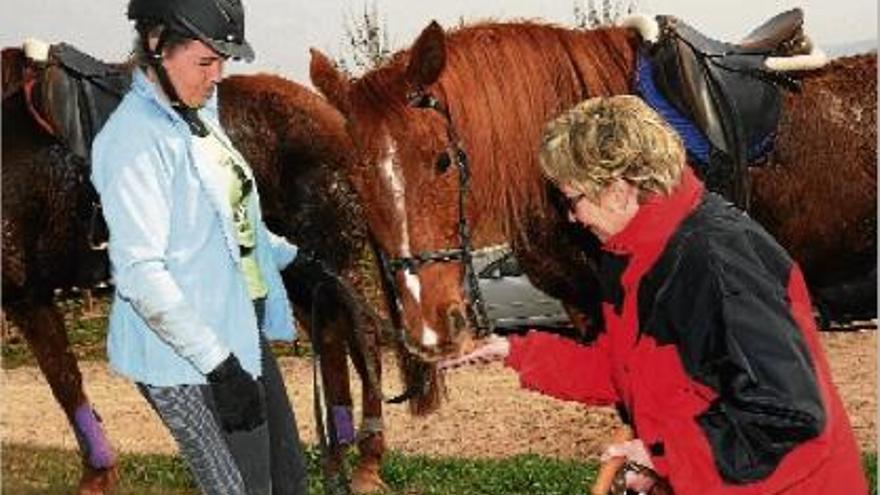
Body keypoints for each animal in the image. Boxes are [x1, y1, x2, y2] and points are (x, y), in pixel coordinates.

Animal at [0, 44, 440, 494]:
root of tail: (334, 118)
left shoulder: (26, 295)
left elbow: (65, 382)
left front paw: (98, 476)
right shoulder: (29, 298)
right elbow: (66, 381)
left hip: (336, 261)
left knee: (362, 336)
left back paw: (368, 459)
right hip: (301, 273)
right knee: (332, 339)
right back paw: (337, 451)